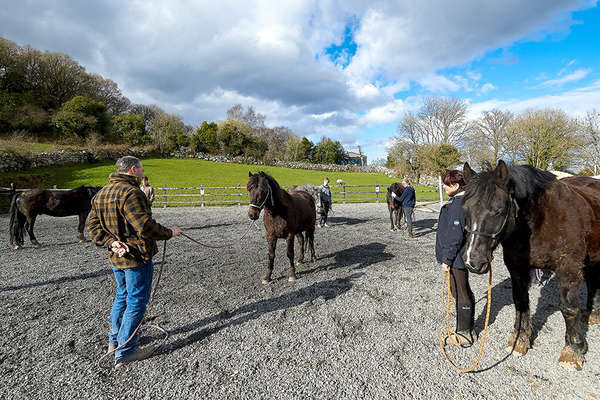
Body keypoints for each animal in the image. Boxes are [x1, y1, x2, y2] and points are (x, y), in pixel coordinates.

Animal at [460, 161, 600, 370]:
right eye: (465, 210)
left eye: (499, 210)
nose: (473, 262)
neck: (542, 221)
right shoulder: (517, 269)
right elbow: (521, 302)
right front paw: (520, 340)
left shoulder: (569, 269)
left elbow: (568, 308)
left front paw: (573, 349)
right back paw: (591, 314)